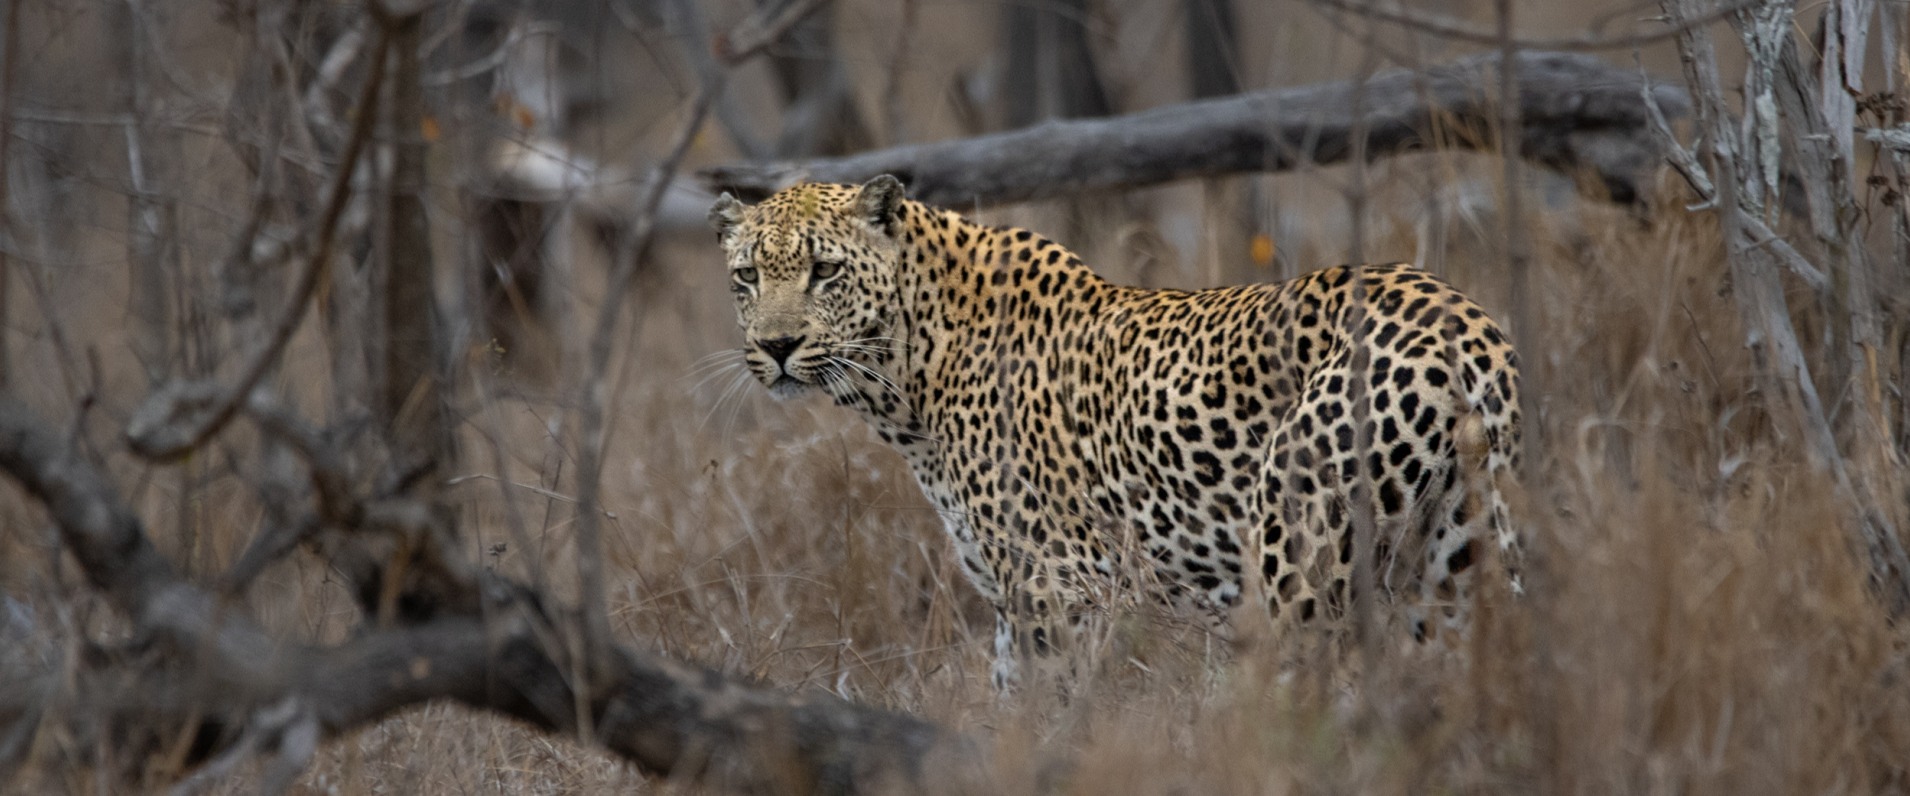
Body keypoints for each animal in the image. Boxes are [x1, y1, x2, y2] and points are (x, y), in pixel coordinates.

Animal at [708, 175, 1521, 689]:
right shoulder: (1012, 602)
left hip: (1303, 565)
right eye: (746, 277)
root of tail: (1465, 326)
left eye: (824, 271)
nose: (776, 346)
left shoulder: (1059, 587)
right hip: (1456, 574)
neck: (907, 377)